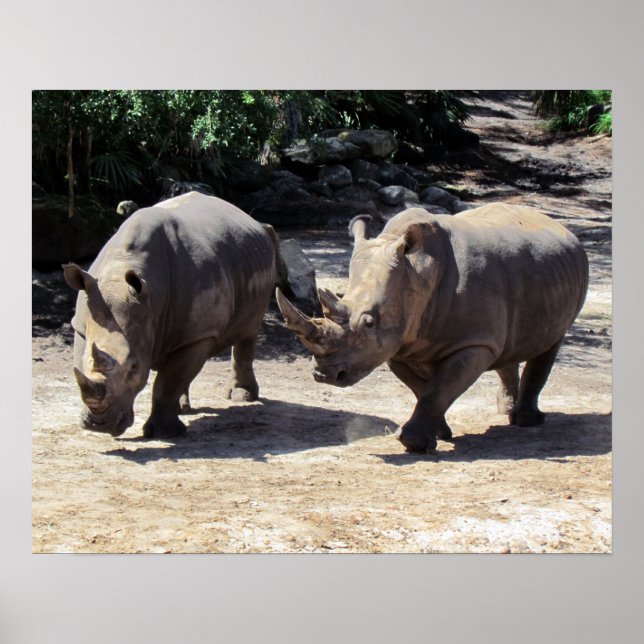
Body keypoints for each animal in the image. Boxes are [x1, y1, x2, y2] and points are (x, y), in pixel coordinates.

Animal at [64, 191, 276, 439]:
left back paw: (241, 397)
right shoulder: (82, 325)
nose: (100, 425)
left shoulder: (199, 335)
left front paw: (164, 434)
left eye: (134, 368)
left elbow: (167, 383)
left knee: (248, 332)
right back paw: (183, 409)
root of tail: (253, 221)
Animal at [276, 204, 589, 453]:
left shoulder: (472, 343)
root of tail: (561, 227)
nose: (324, 374)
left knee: (550, 343)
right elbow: (425, 389)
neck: (418, 271)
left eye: (369, 322)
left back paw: (527, 421)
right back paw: (506, 411)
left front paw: (414, 443)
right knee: (509, 345)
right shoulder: (399, 343)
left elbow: (437, 389)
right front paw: (440, 433)